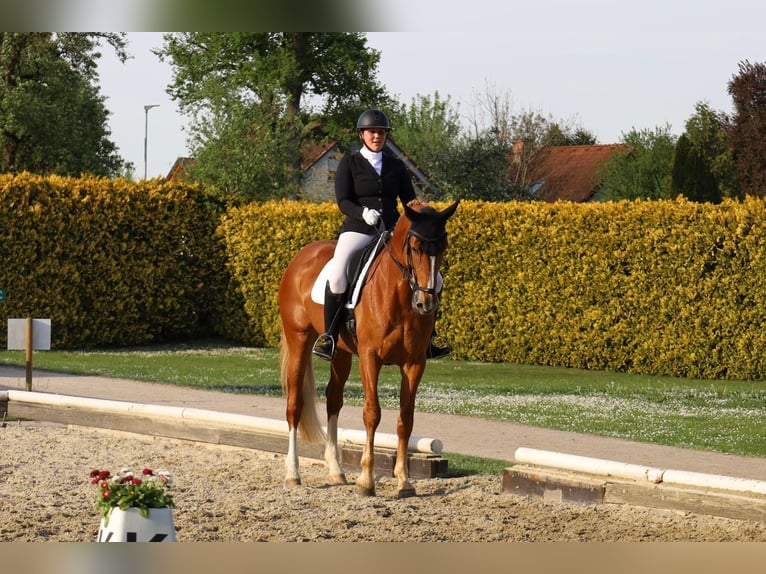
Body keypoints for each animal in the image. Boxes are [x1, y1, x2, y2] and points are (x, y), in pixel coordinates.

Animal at [282, 199, 462, 500]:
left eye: (444, 247)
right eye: (415, 247)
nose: (426, 304)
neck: (400, 294)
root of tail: (301, 256)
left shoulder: (415, 363)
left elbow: (405, 418)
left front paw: (404, 481)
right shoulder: (370, 357)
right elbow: (372, 413)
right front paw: (366, 480)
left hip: (341, 352)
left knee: (333, 400)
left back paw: (336, 471)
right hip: (299, 339)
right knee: (295, 404)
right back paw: (293, 474)